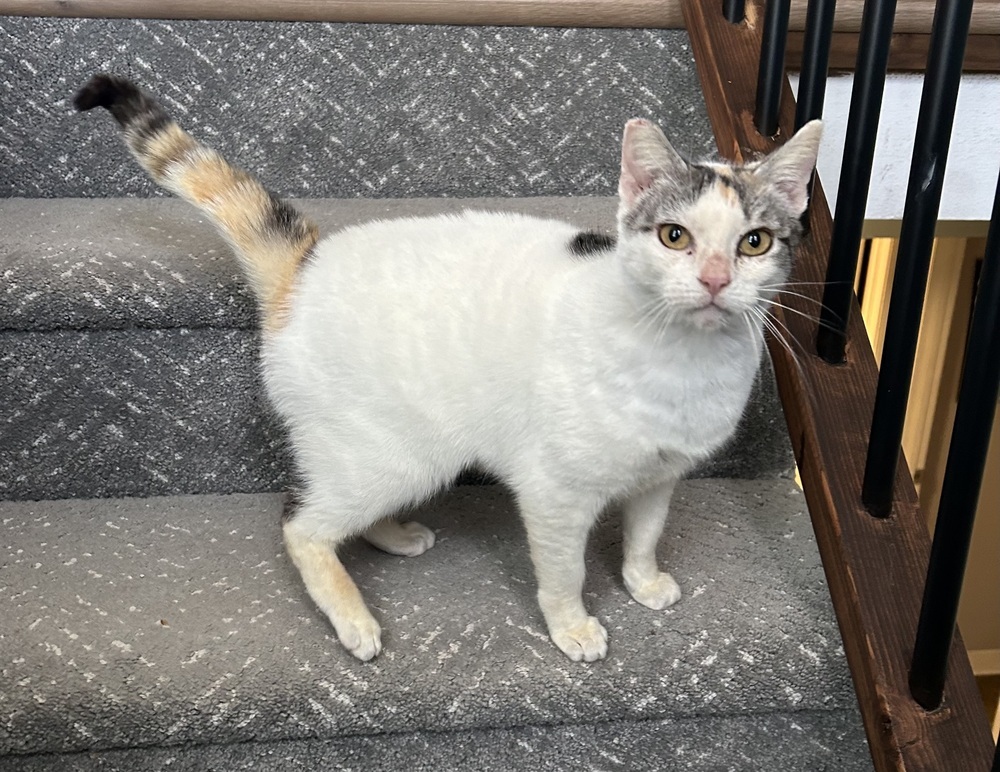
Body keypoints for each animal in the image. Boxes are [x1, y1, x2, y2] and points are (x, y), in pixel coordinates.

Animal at [72, 74, 820, 664]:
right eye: (674, 236)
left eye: (755, 243)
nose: (717, 280)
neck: (681, 361)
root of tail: (306, 264)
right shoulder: (555, 495)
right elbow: (564, 571)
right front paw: (574, 628)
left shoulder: (661, 476)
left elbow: (645, 533)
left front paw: (644, 581)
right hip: (393, 457)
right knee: (301, 526)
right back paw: (354, 619)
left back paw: (396, 536)